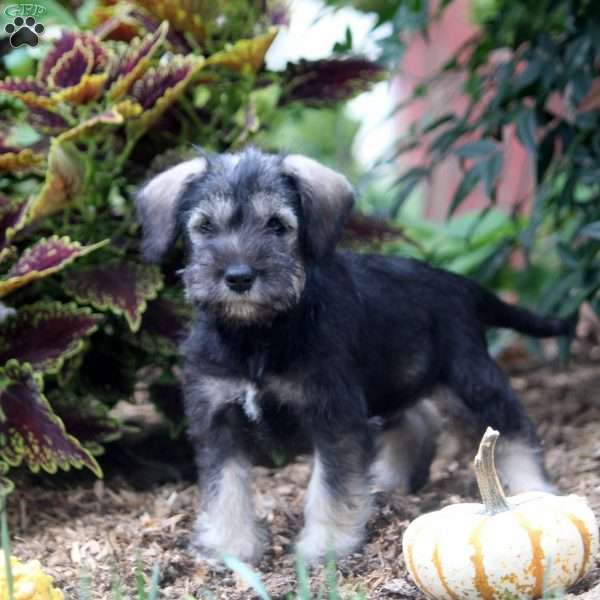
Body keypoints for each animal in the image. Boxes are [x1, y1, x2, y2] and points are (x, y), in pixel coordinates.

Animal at [137, 148, 572, 564]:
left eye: (277, 225)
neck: (257, 334)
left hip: (470, 378)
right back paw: (391, 481)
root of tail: (458, 283)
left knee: (512, 428)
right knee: (416, 418)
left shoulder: (333, 414)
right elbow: (224, 486)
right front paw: (229, 547)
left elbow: (331, 485)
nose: (239, 277)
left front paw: (326, 547)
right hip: (393, 375)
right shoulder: (217, 417)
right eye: (205, 226)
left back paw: (532, 487)